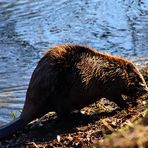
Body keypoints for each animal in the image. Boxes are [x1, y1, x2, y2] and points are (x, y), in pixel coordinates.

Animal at [0, 44, 147, 139]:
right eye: (137, 77)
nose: (145, 89)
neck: (109, 68)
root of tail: (24, 116)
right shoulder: (110, 85)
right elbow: (117, 97)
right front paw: (129, 104)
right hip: (60, 96)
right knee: (63, 115)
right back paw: (85, 117)